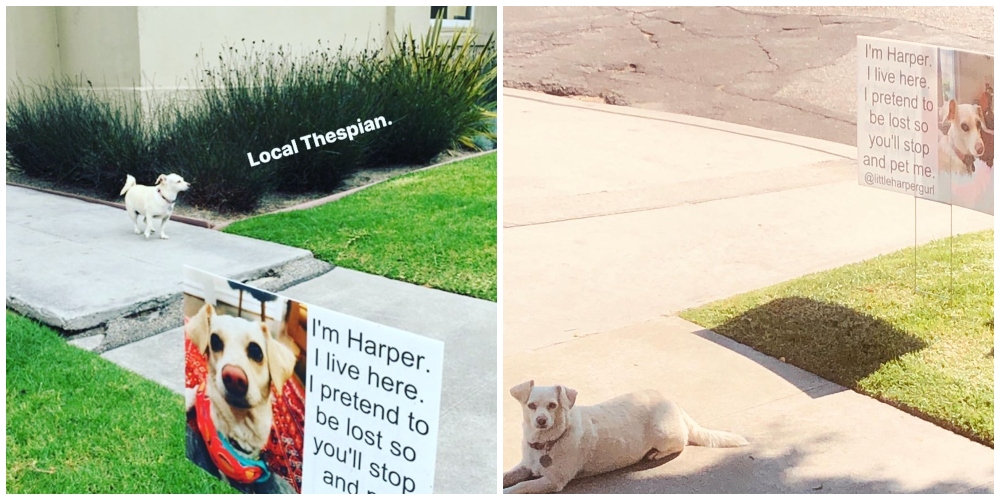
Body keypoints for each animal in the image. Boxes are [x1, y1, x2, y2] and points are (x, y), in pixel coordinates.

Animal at [504, 380, 748, 494]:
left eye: (552, 405)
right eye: (531, 405)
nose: (541, 421)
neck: (545, 443)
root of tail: (673, 403)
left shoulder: (553, 481)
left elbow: (520, 487)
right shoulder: (526, 466)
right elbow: (509, 475)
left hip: (664, 434)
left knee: (682, 443)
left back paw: (656, 454)